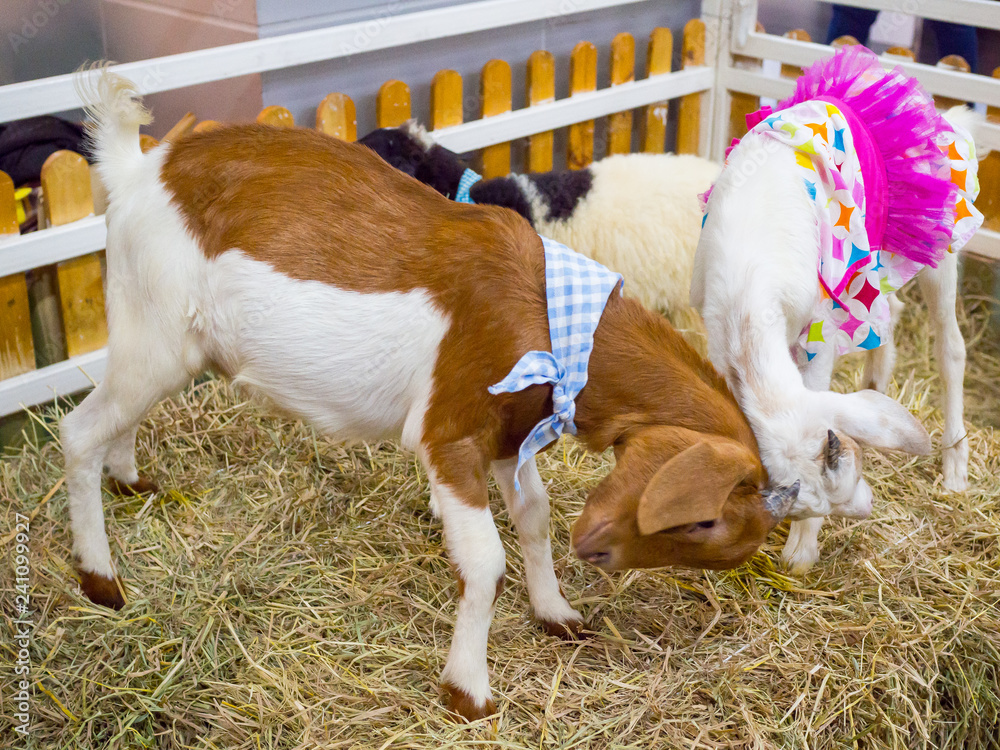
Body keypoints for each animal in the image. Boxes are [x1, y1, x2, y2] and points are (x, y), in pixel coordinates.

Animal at [692, 47, 980, 572]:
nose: (865, 507)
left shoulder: (819, 329)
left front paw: (799, 554)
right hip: (875, 253)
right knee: (889, 310)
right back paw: (877, 382)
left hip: (940, 246)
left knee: (951, 346)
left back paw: (954, 467)